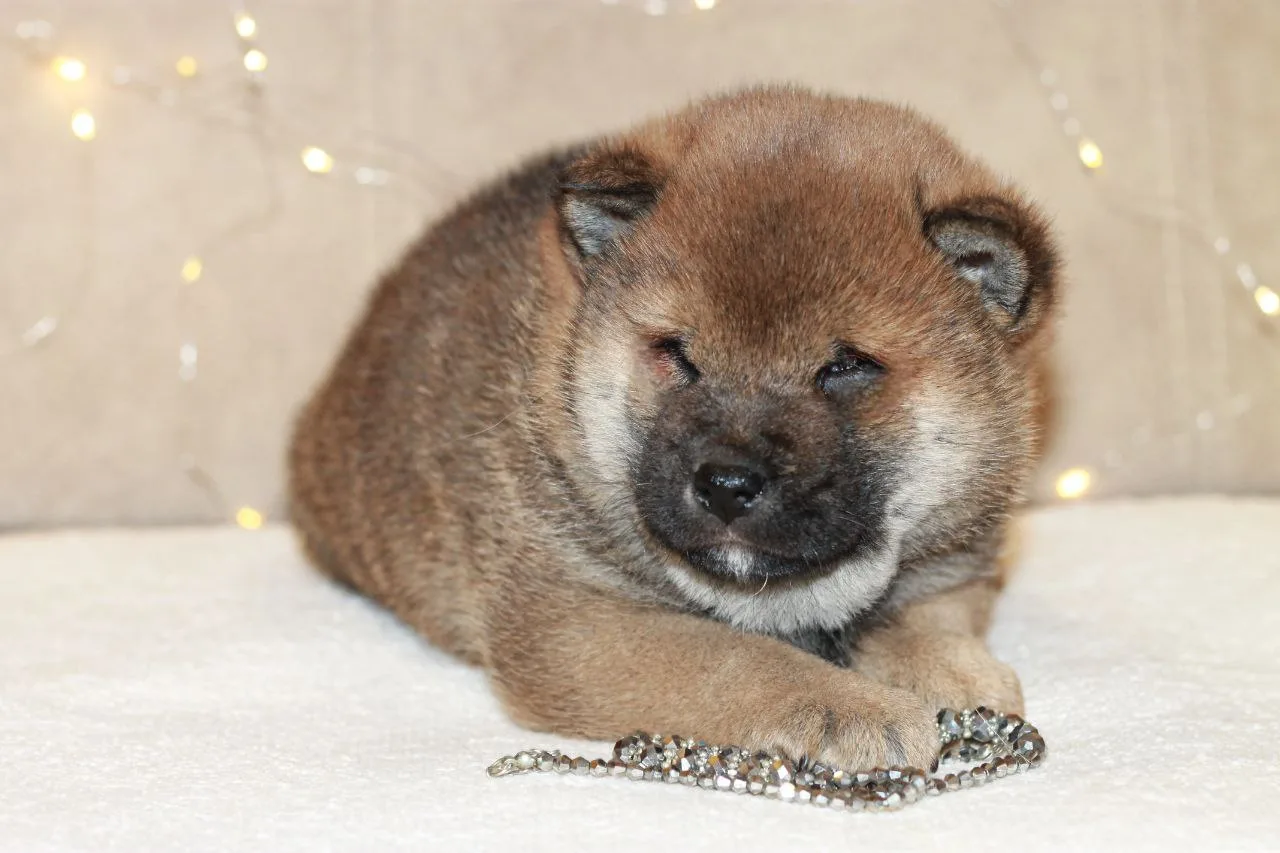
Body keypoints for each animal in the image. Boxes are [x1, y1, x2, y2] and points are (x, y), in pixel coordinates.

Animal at [288, 86, 1057, 771]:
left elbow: (922, 615)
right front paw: (858, 710)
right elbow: (735, 659)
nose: (726, 483)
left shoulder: (960, 562)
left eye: (845, 367)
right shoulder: (571, 622)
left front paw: (955, 672)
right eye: (677, 353)